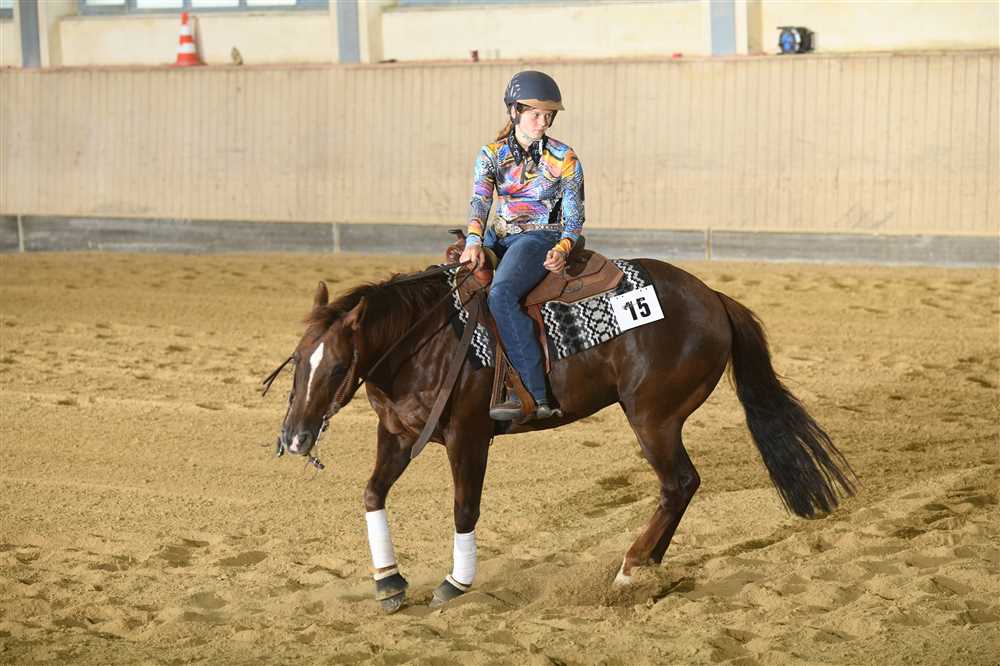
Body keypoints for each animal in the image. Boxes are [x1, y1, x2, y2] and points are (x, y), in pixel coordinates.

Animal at [266, 256, 856, 613]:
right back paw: (647, 567)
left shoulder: (468, 436)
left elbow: (464, 509)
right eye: (297, 360)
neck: (430, 339)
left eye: (337, 367)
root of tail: (712, 297)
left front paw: (456, 583)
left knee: (679, 483)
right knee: (680, 489)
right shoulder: (395, 432)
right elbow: (372, 493)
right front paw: (388, 580)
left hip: (653, 418)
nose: (294, 438)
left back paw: (630, 569)